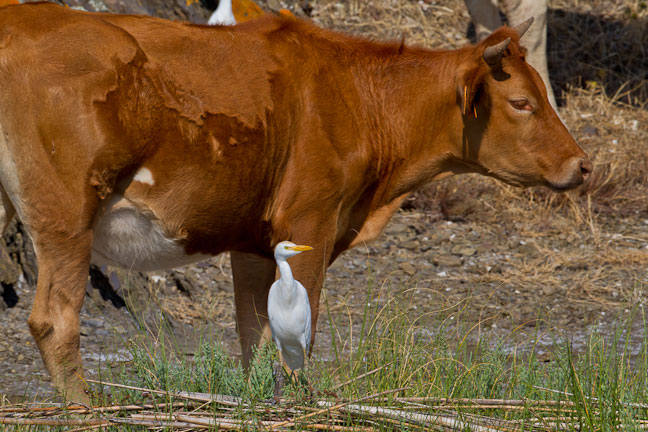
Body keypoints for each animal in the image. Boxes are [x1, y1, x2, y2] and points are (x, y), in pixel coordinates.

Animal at [0, 2, 592, 402]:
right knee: (55, 318)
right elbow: (298, 328)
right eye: (521, 102)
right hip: (66, 217)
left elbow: (256, 334)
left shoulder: (254, 241)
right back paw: (84, 409)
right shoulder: (311, 219)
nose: (583, 164)